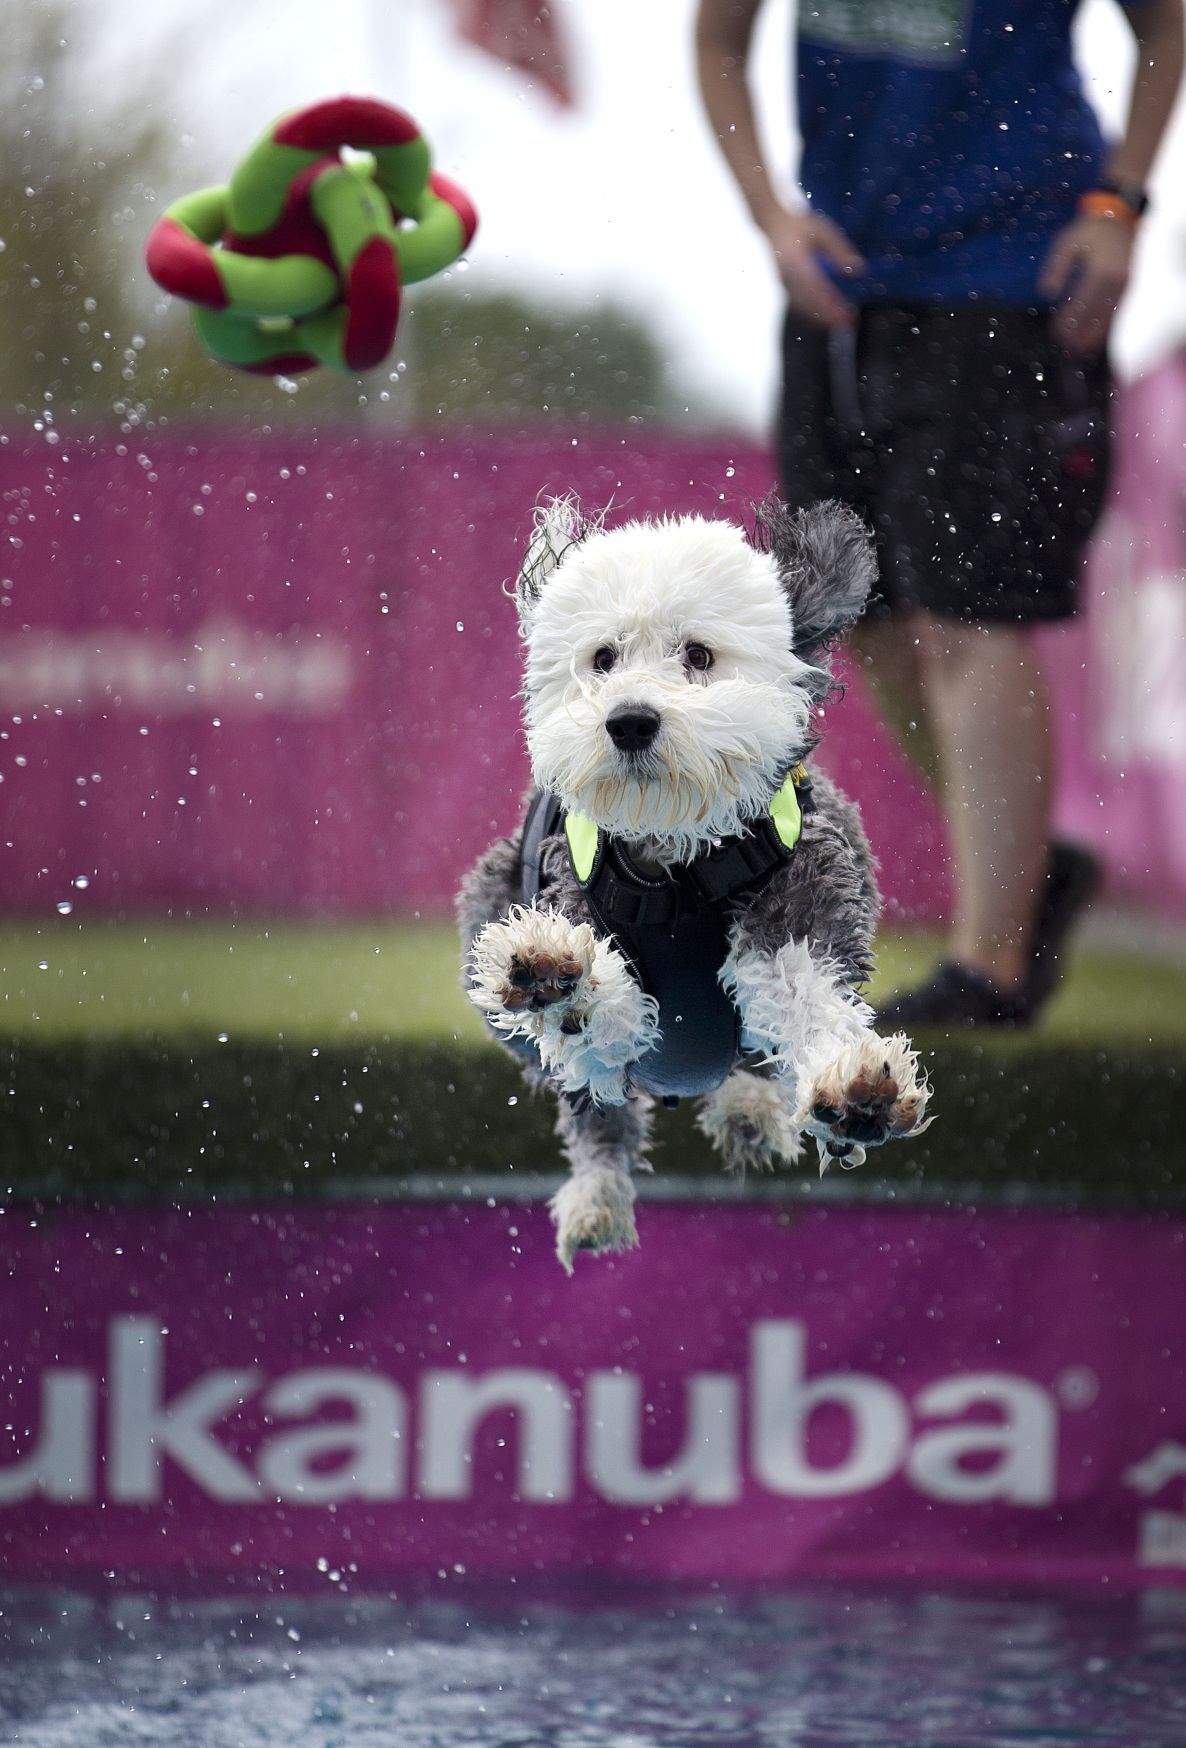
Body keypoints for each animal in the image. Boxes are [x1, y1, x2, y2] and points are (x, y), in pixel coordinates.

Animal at [458, 492, 930, 1272]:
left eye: (699, 655)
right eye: (604, 657)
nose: (630, 721)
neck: (675, 868)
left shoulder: (804, 895)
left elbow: (804, 989)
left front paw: (851, 1083)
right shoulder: (569, 902)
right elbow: (606, 1027)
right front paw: (559, 977)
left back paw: (750, 1110)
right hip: (487, 903)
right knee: (596, 1119)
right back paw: (597, 1194)